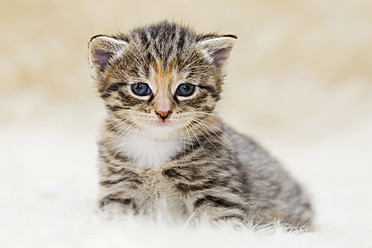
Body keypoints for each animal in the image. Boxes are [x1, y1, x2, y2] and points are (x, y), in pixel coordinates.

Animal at [88, 20, 312, 229]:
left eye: (185, 89)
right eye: (140, 88)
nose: (163, 112)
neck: (156, 148)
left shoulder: (218, 192)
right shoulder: (118, 188)